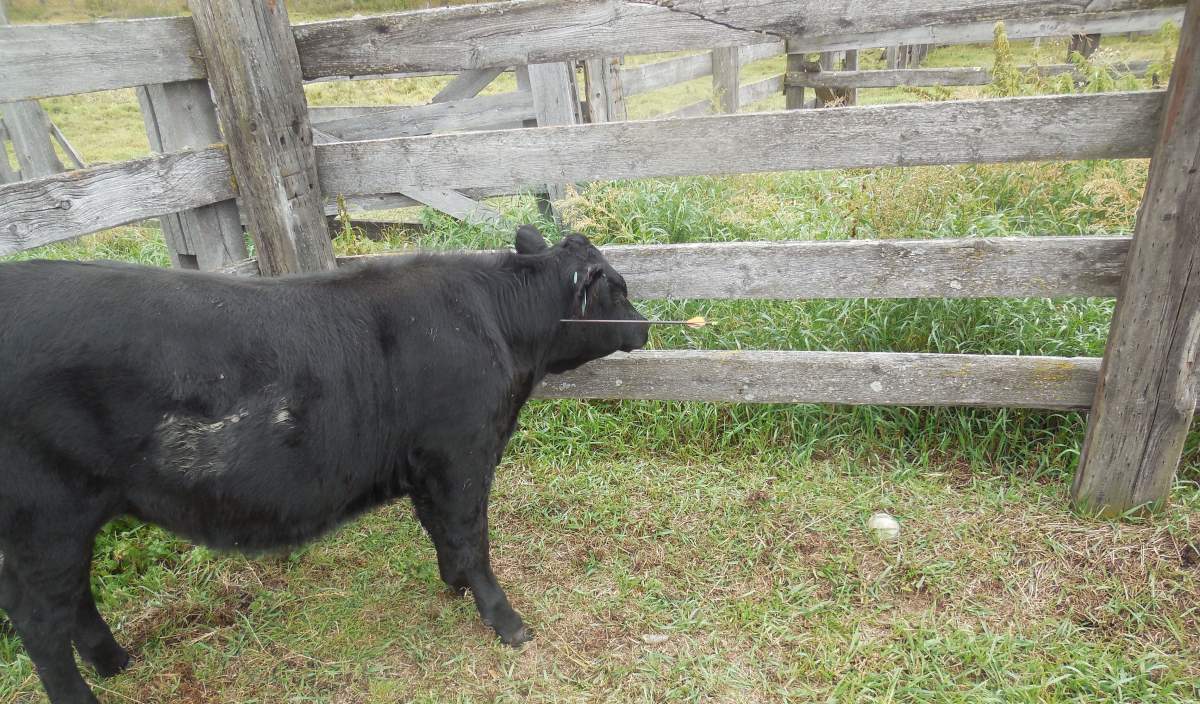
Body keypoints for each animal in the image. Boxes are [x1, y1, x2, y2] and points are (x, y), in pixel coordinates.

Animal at [0, 225, 648, 704]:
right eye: (617, 287)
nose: (643, 326)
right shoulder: (462, 454)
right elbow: (471, 537)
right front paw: (506, 622)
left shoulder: (425, 464)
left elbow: (440, 531)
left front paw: (453, 585)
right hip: (46, 518)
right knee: (41, 622)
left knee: (66, 600)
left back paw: (116, 662)